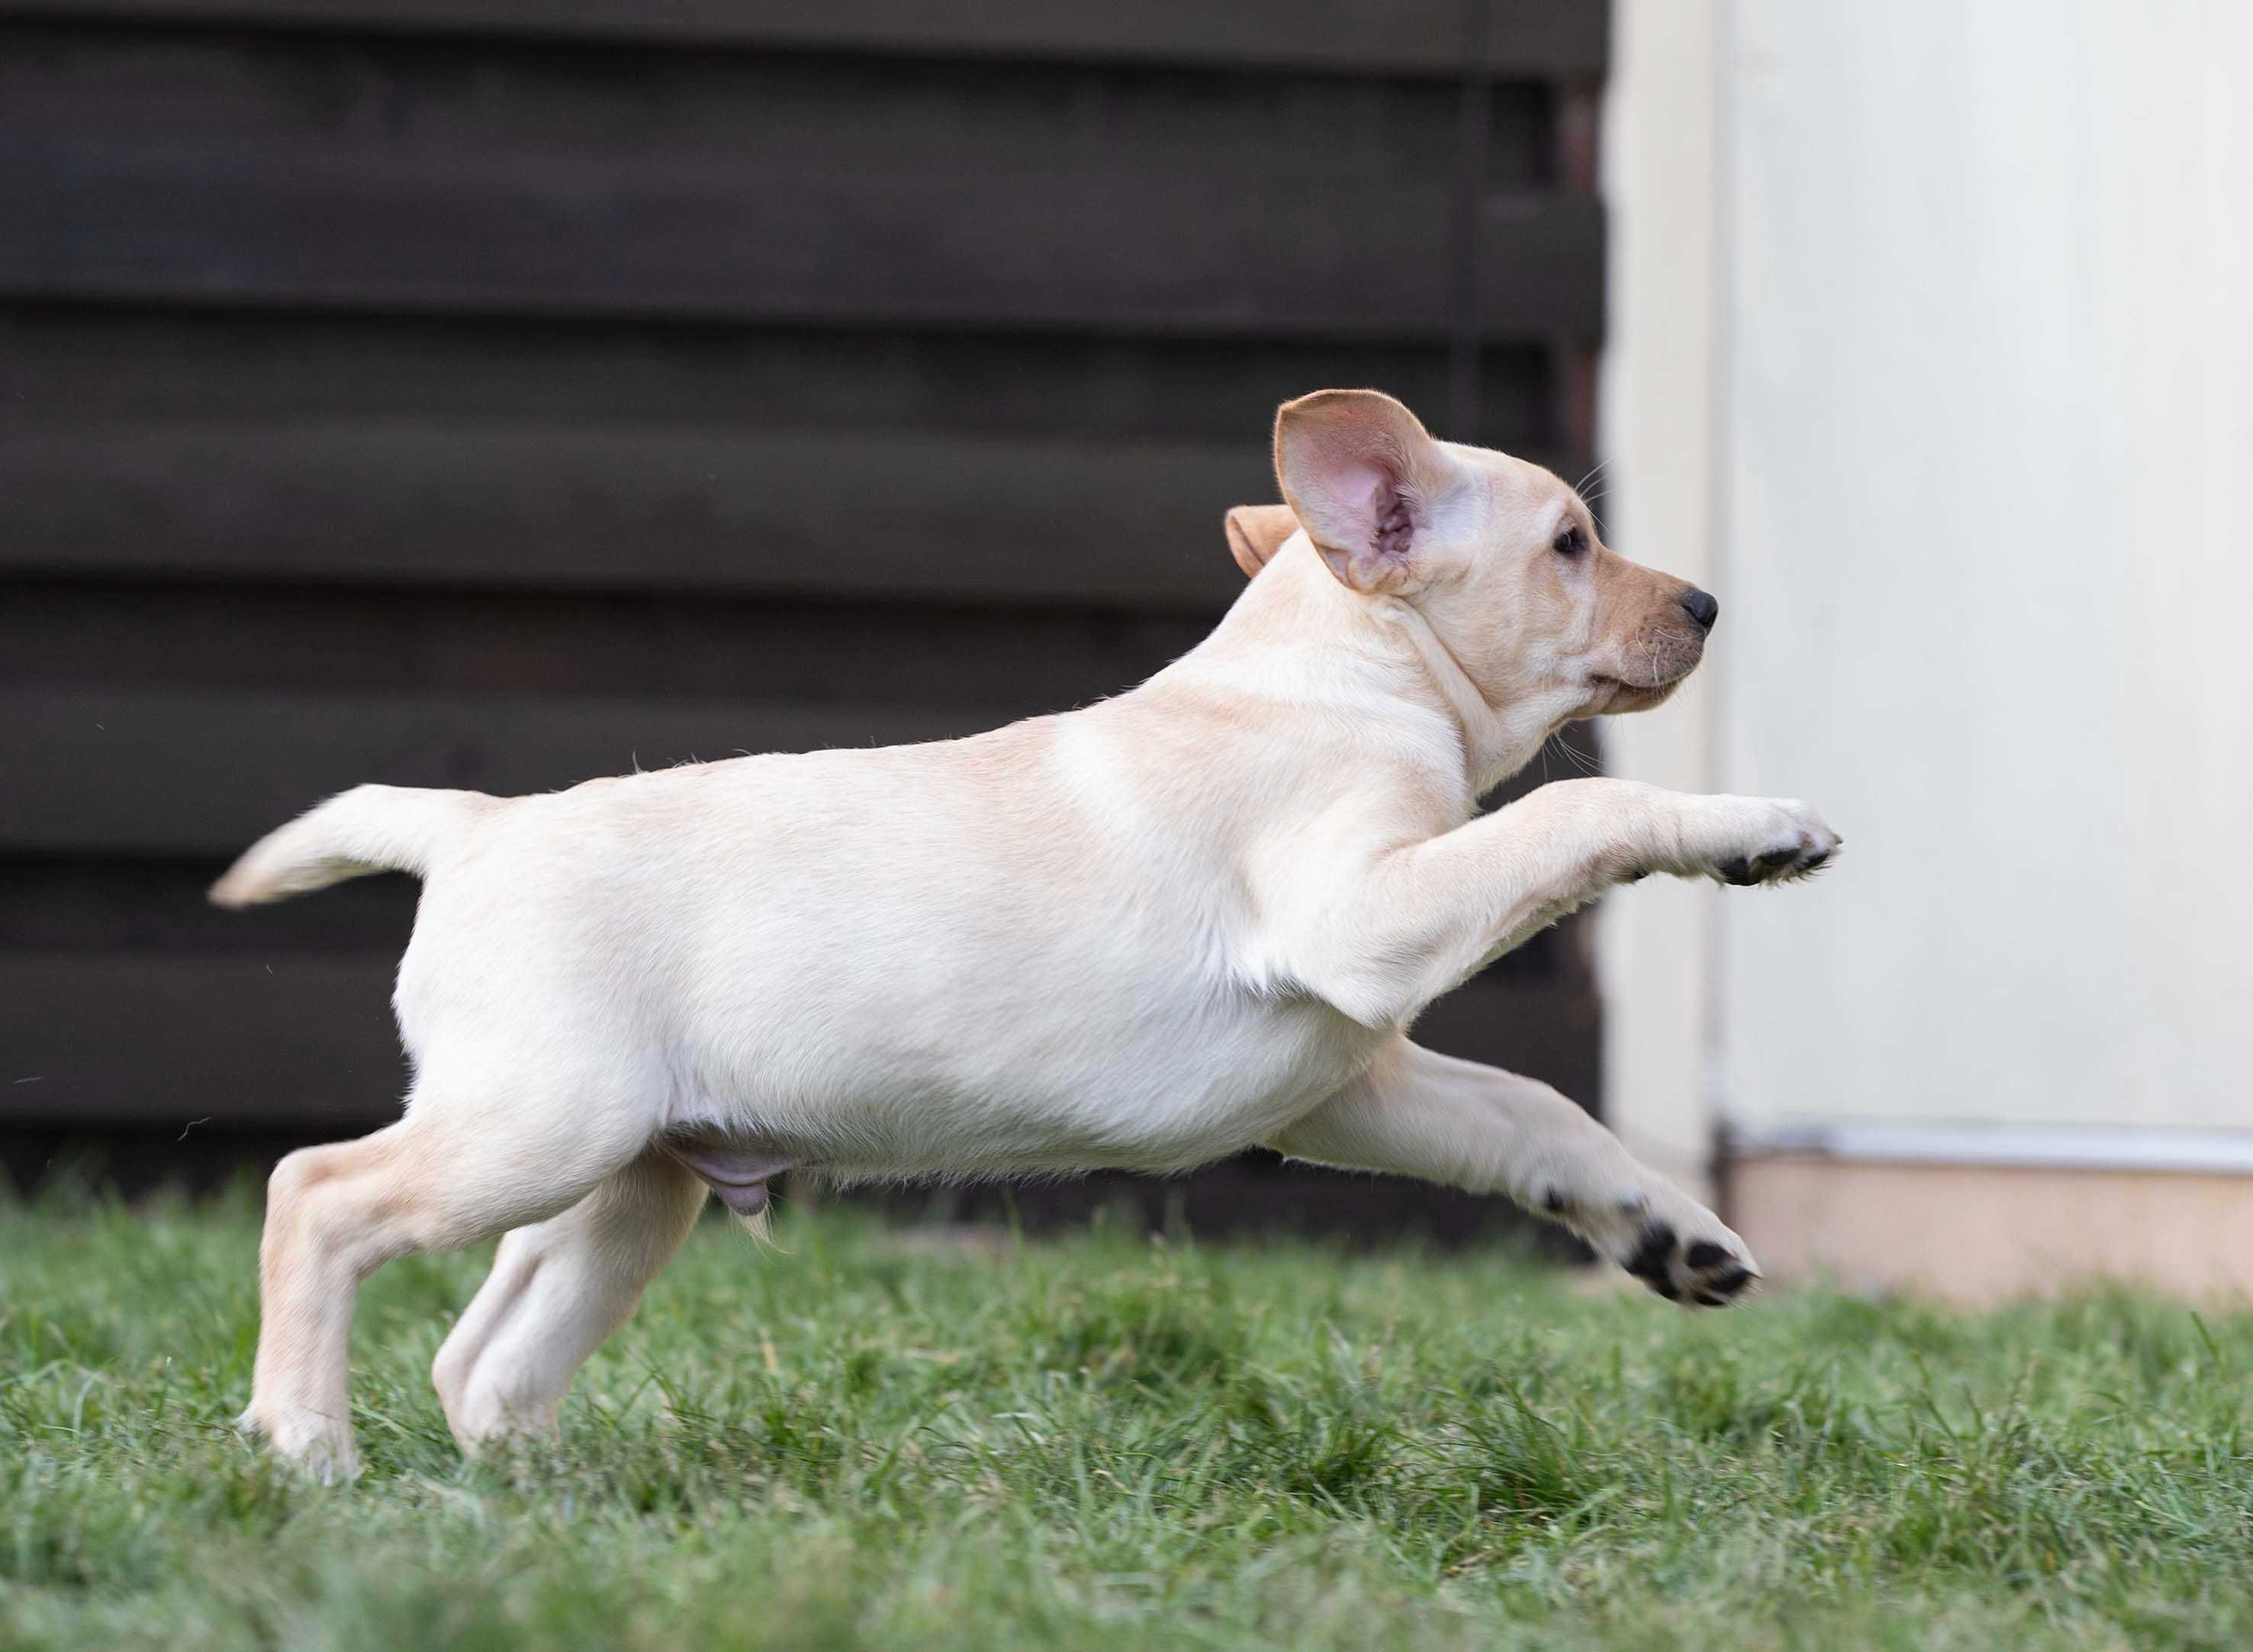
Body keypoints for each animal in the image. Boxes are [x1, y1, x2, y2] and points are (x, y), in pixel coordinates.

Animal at [211, 391, 1829, 1478]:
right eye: (1569, 543)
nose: (1704, 604)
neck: (1336, 671)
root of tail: (473, 826)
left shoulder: (1345, 1077)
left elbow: (1532, 1112)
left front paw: (1666, 1235)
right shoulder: (1362, 920)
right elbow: (1571, 818)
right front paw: (1747, 825)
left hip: (630, 1180)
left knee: (485, 1354)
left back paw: (541, 1500)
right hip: (541, 1126)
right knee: (317, 1196)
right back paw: (303, 1448)